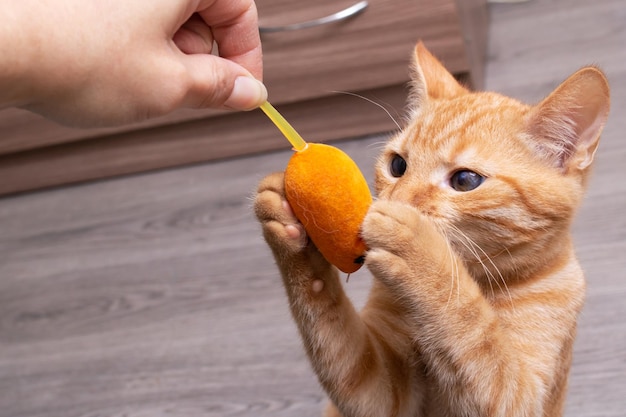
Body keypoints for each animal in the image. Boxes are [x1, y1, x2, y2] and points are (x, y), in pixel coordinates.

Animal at [254, 43, 608, 416]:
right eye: (398, 165)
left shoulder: (522, 398)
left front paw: (418, 249)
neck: (483, 284)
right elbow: (332, 330)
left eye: (465, 180)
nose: (398, 200)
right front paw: (288, 222)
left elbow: (473, 330)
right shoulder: (380, 391)